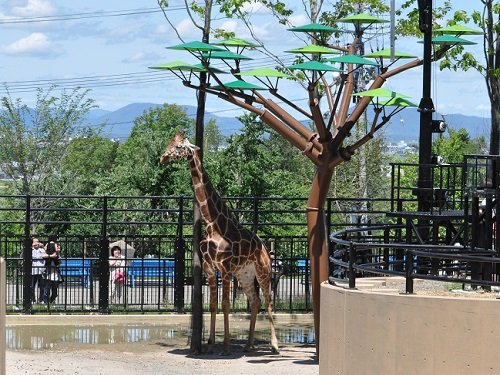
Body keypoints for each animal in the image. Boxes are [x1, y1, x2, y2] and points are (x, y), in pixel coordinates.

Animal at [160, 132, 278, 356]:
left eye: (179, 147)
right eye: (170, 142)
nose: (162, 158)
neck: (212, 224)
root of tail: (265, 247)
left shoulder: (225, 268)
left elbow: (225, 305)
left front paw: (226, 346)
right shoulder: (209, 267)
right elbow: (213, 305)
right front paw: (210, 344)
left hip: (263, 270)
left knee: (268, 300)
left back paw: (275, 346)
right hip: (245, 274)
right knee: (255, 300)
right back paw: (249, 344)